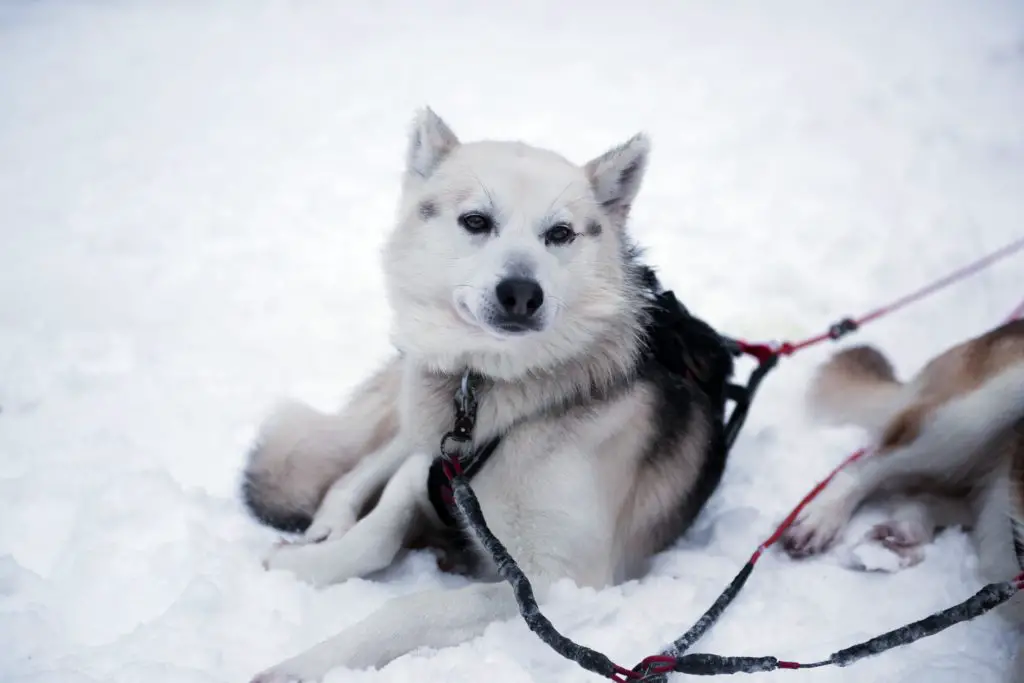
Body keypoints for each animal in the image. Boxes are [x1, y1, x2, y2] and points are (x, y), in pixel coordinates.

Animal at [241, 109, 737, 679]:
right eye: (476, 221)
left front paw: (312, 661)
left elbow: (413, 605)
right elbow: (374, 535)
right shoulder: (430, 466)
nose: (521, 293)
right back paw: (327, 523)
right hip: (413, 417)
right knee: (362, 465)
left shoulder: (558, 584)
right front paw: (307, 565)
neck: (490, 399)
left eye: (560, 233)